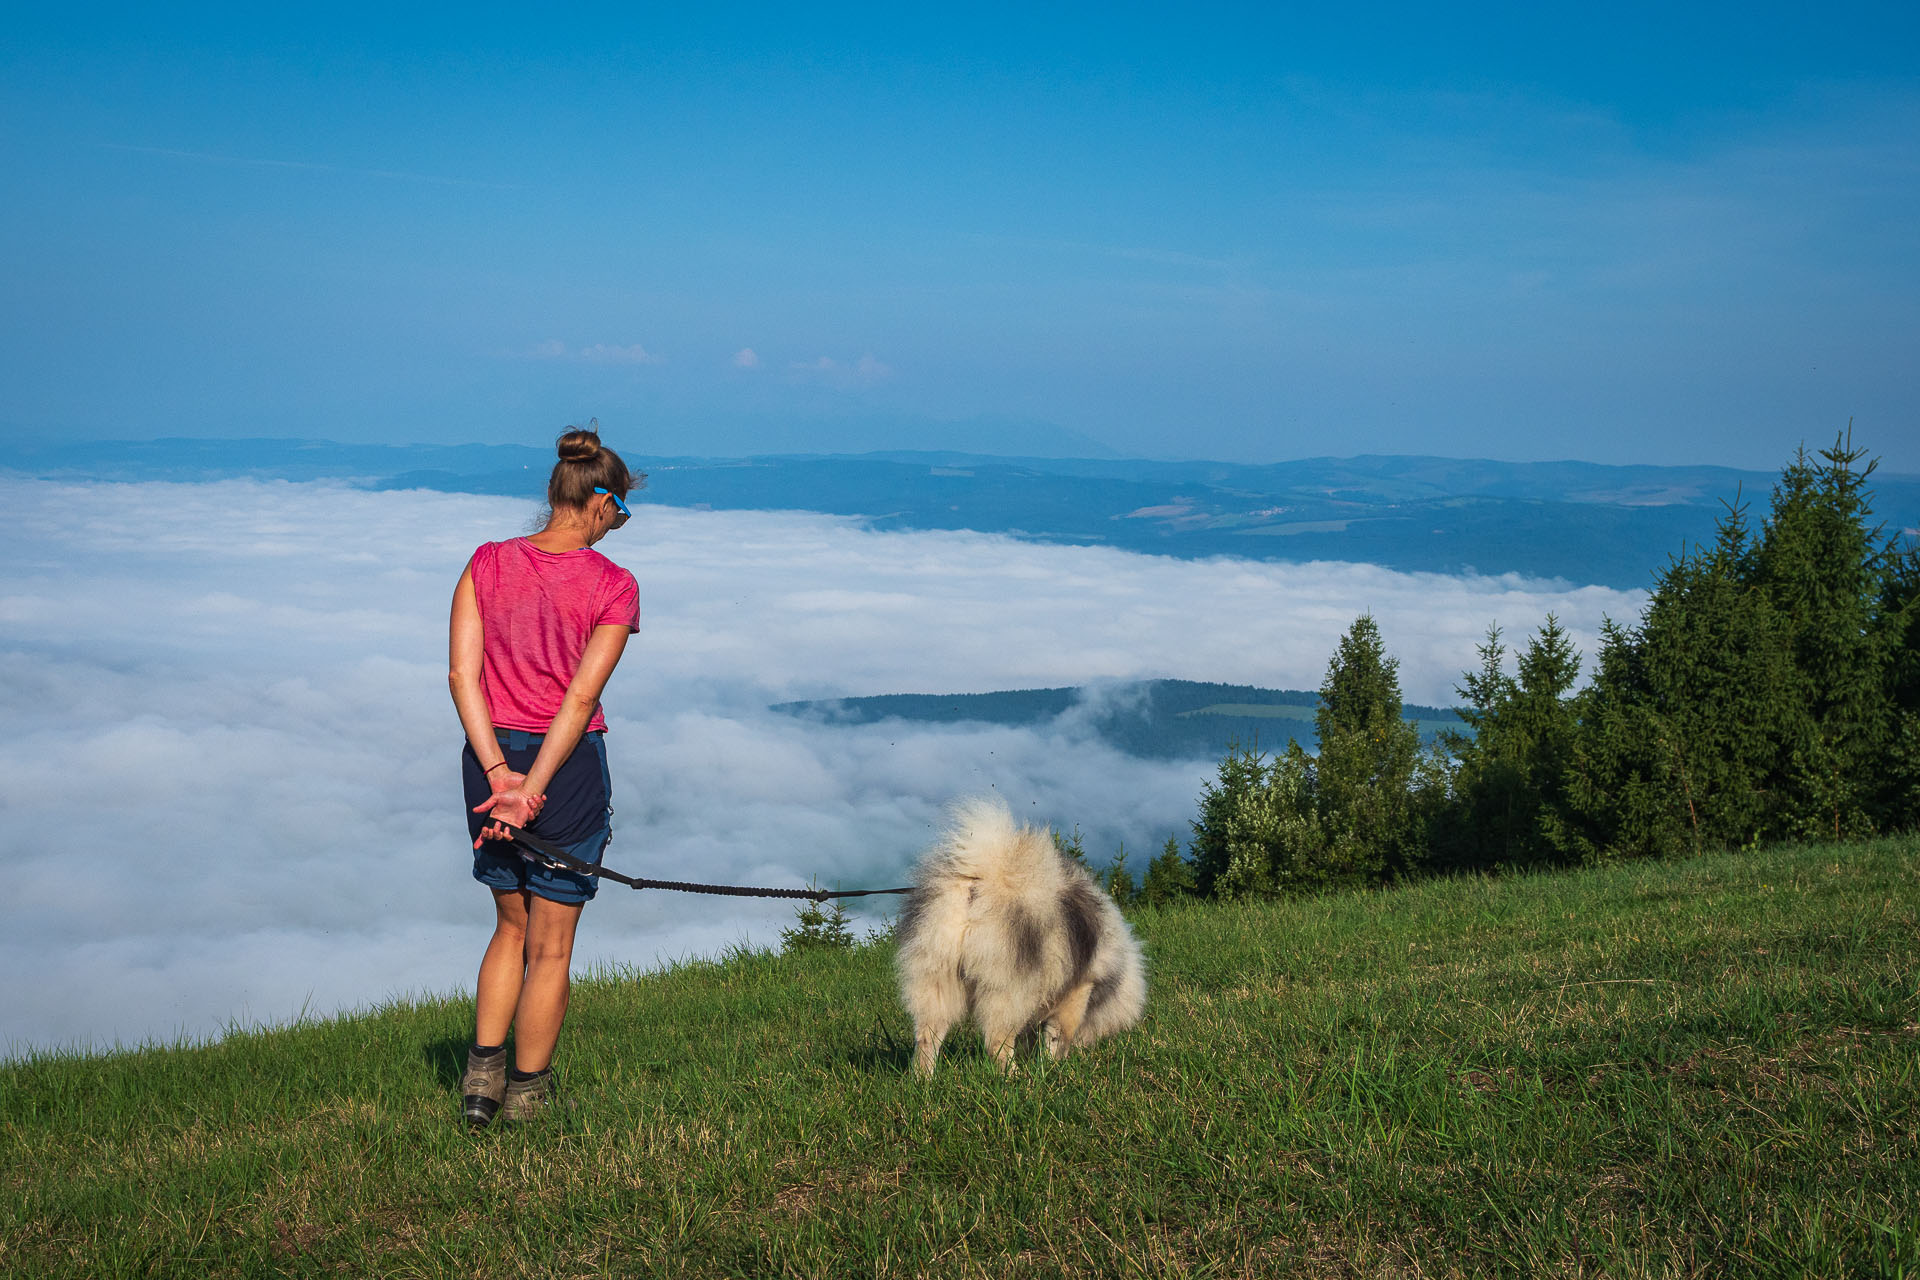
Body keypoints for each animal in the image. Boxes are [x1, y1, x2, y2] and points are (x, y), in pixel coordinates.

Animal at [894, 794, 1144, 1074]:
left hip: (936, 978)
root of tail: (981, 882)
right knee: (997, 1042)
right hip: (1007, 989)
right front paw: (1053, 1066)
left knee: (927, 1039)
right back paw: (1015, 1077)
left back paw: (924, 1079)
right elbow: (1058, 1035)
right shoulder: (1078, 991)